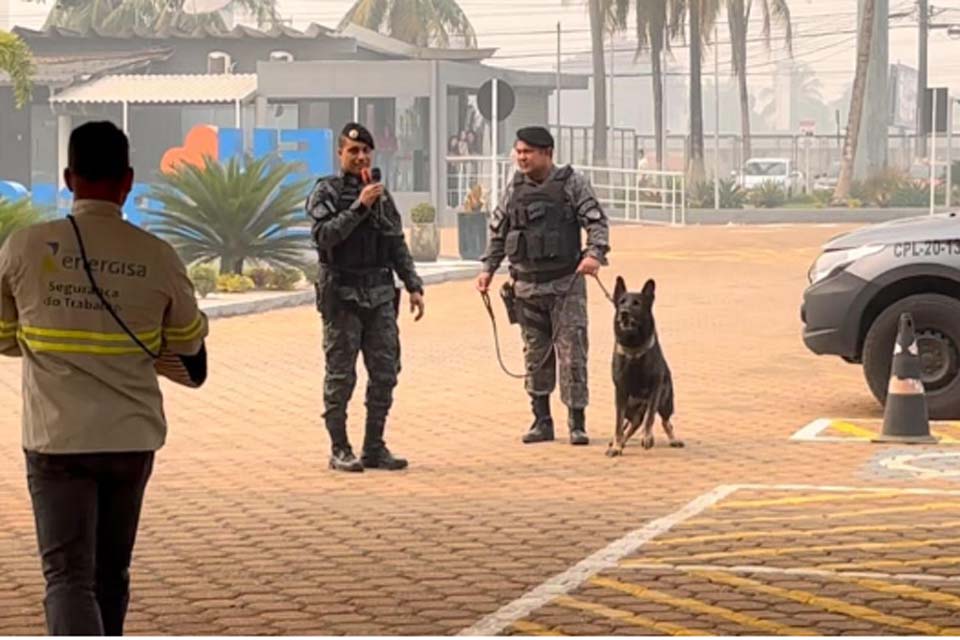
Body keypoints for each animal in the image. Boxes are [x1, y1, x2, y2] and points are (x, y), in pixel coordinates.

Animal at [608, 276, 684, 456]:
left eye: (637, 303)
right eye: (621, 302)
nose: (623, 313)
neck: (634, 348)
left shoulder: (655, 389)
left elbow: (650, 417)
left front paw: (647, 437)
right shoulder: (620, 392)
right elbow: (618, 423)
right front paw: (616, 445)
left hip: (666, 402)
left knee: (665, 421)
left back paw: (672, 439)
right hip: (630, 407)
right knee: (632, 424)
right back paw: (621, 442)